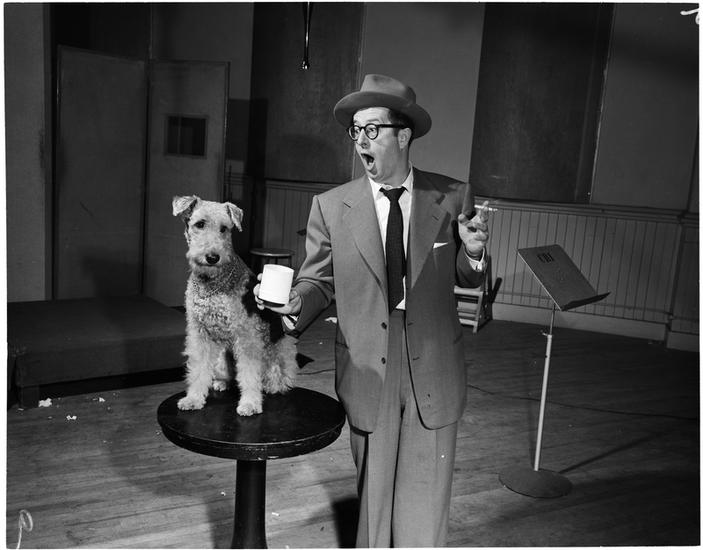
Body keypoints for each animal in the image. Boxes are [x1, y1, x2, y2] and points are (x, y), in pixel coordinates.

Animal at [172, 195, 297, 416]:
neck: (212, 284)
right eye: (200, 224)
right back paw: (222, 382)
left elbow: (249, 373)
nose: (213, 257)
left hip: (279, 351)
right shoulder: (199, 333)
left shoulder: (246, 334)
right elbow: (198, 369)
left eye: (224, 228)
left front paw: (250, 403)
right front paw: (193, 399)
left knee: (279, 377)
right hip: (221, 356)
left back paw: (273, 386)